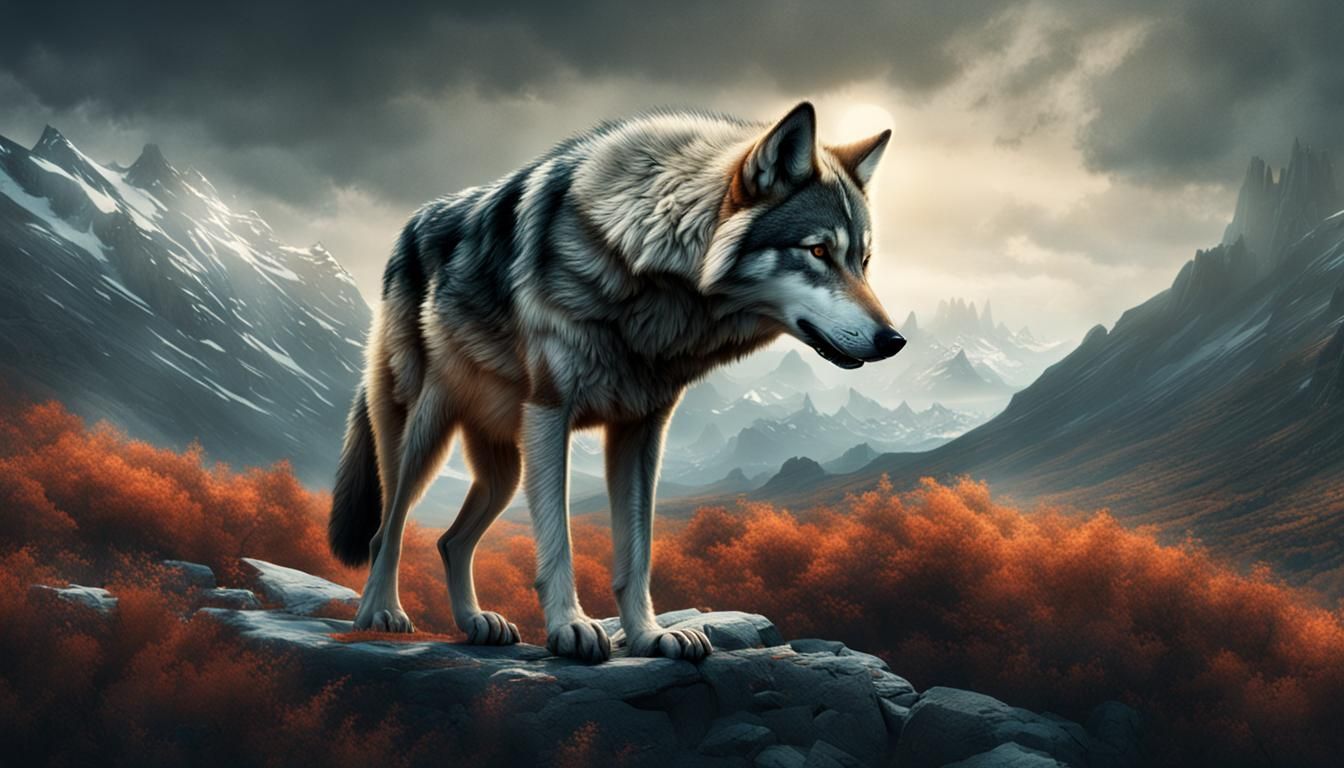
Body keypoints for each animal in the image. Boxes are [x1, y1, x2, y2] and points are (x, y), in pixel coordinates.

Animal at [328, 101, 905, 662]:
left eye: (863, 260)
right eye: (817, 251)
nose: (893, 341)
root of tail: (409, 224)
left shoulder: (641, 429)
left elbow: (637, 552)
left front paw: (649, 636)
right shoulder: (549, 415)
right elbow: (557, 541)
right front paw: (570, 628)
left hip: (504, 471)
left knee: (450, 542)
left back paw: (477, 623)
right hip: (424, 433)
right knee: (386, 530)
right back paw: (380, 613)